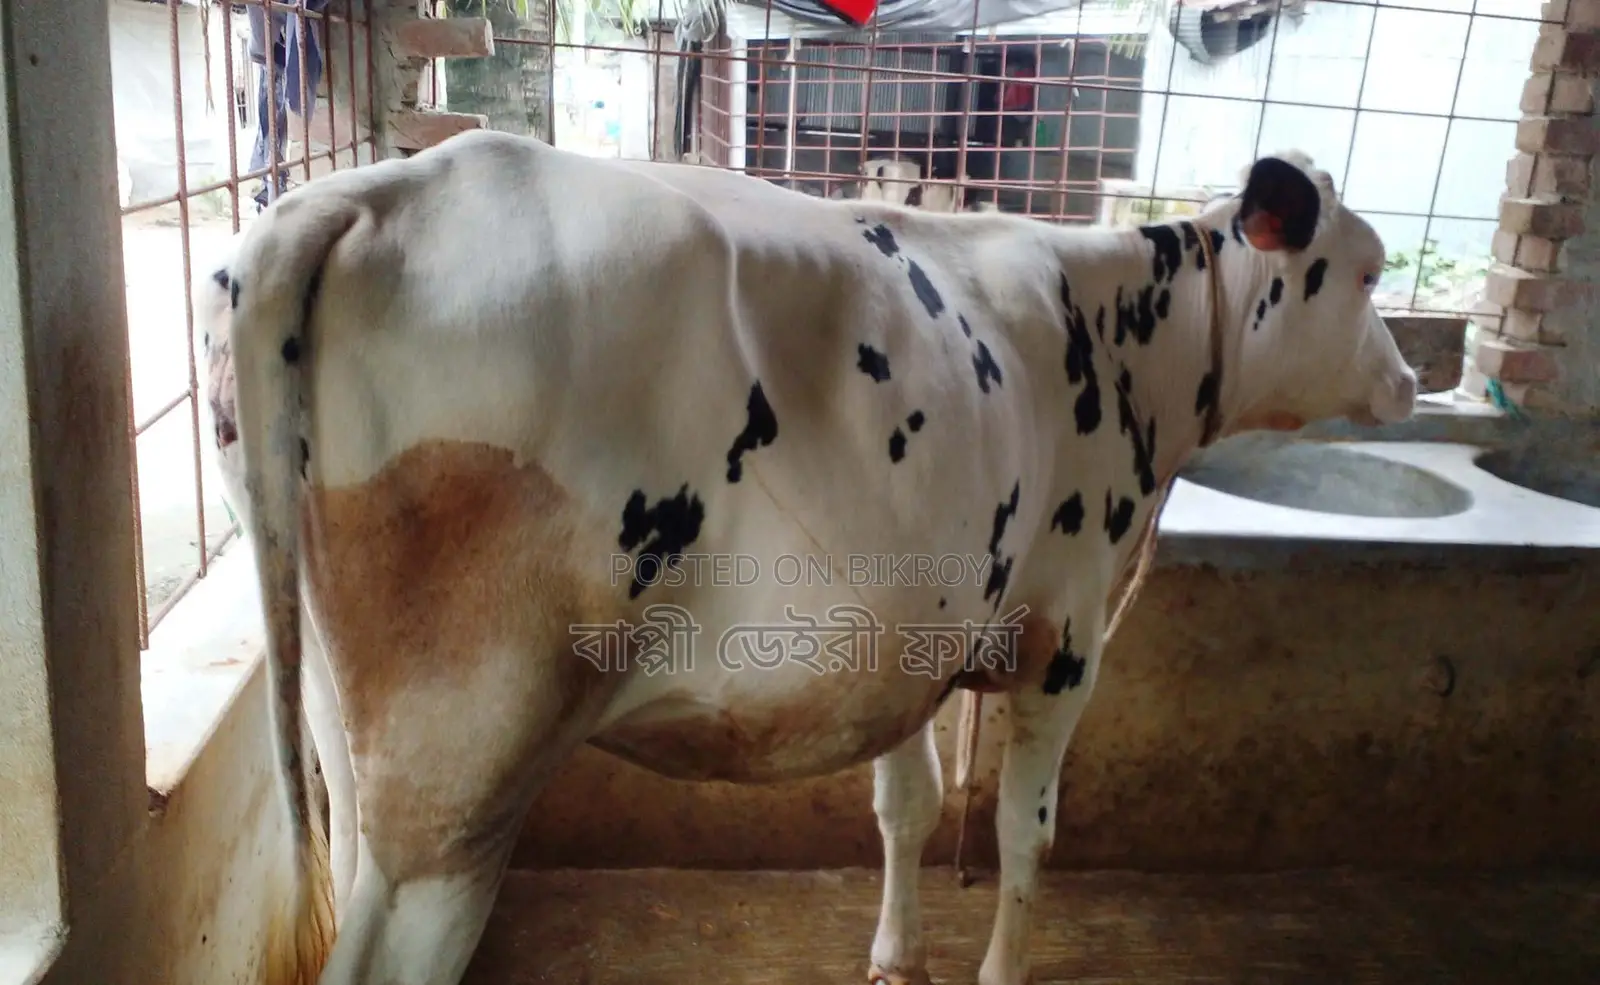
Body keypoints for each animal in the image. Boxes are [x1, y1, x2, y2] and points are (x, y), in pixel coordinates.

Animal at [197, 129, 1415, 985]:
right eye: (1366, 273)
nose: (1410, 382)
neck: (1123, 333)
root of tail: (379, 189)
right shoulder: (1065, 638)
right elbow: (1026, 835)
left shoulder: (910, 639)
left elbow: (909, 804)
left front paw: (895, 953)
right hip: (461, 763)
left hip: (344, 734)